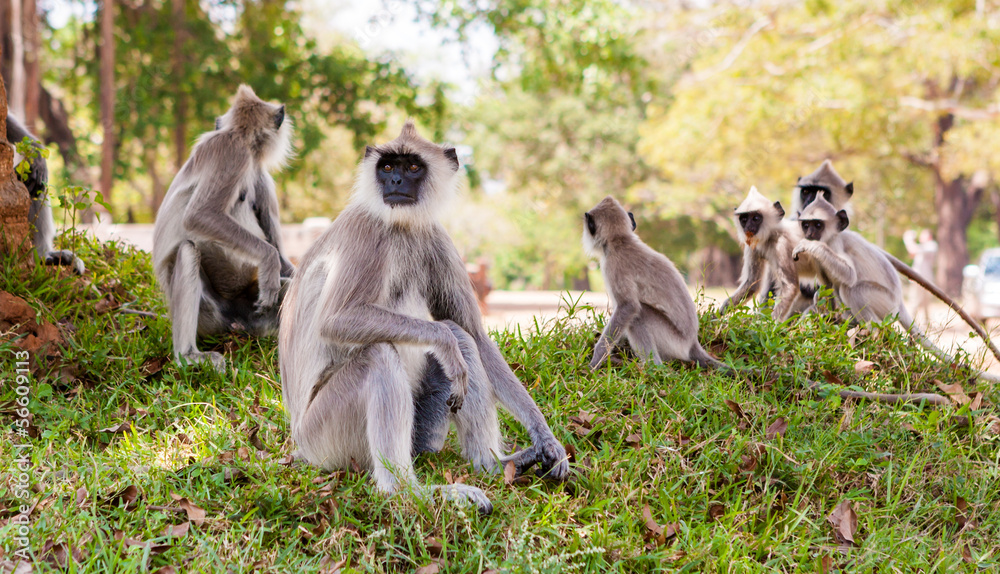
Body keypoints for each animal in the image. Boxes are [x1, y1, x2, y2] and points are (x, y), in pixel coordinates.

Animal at [152, 85, 295, 371]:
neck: (242, 137)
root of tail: (236, 322)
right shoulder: (232, 152)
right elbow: (199, 215)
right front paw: (269, 260)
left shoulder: (260, 175)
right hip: (209, 315)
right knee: (187, 250)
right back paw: (187, 355)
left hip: (253, 312)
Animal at [279, 121, 569, 515]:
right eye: (387, 166)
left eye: (412, 166)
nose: (395, 181)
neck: (399, 226)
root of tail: (299, 446)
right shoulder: (367, 231)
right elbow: (337, 320)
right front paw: (443, 341)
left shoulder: (434, 235)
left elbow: (475, 336)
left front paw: (545, 437)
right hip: (323, 437)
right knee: (380, 355)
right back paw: (407, 493)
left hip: (422, 430)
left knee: (460, 339)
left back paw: (492, 465)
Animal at [792, 197, 1000, 383]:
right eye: (806, 225)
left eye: (818, 225)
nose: (809, 234)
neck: (830, 238)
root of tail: (899, 301)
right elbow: (827, 285)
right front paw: (827, 317)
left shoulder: (835, 244)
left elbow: (849, 275)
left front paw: (811, 246)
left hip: (885, 302)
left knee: (853, 289)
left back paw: (869, 331)